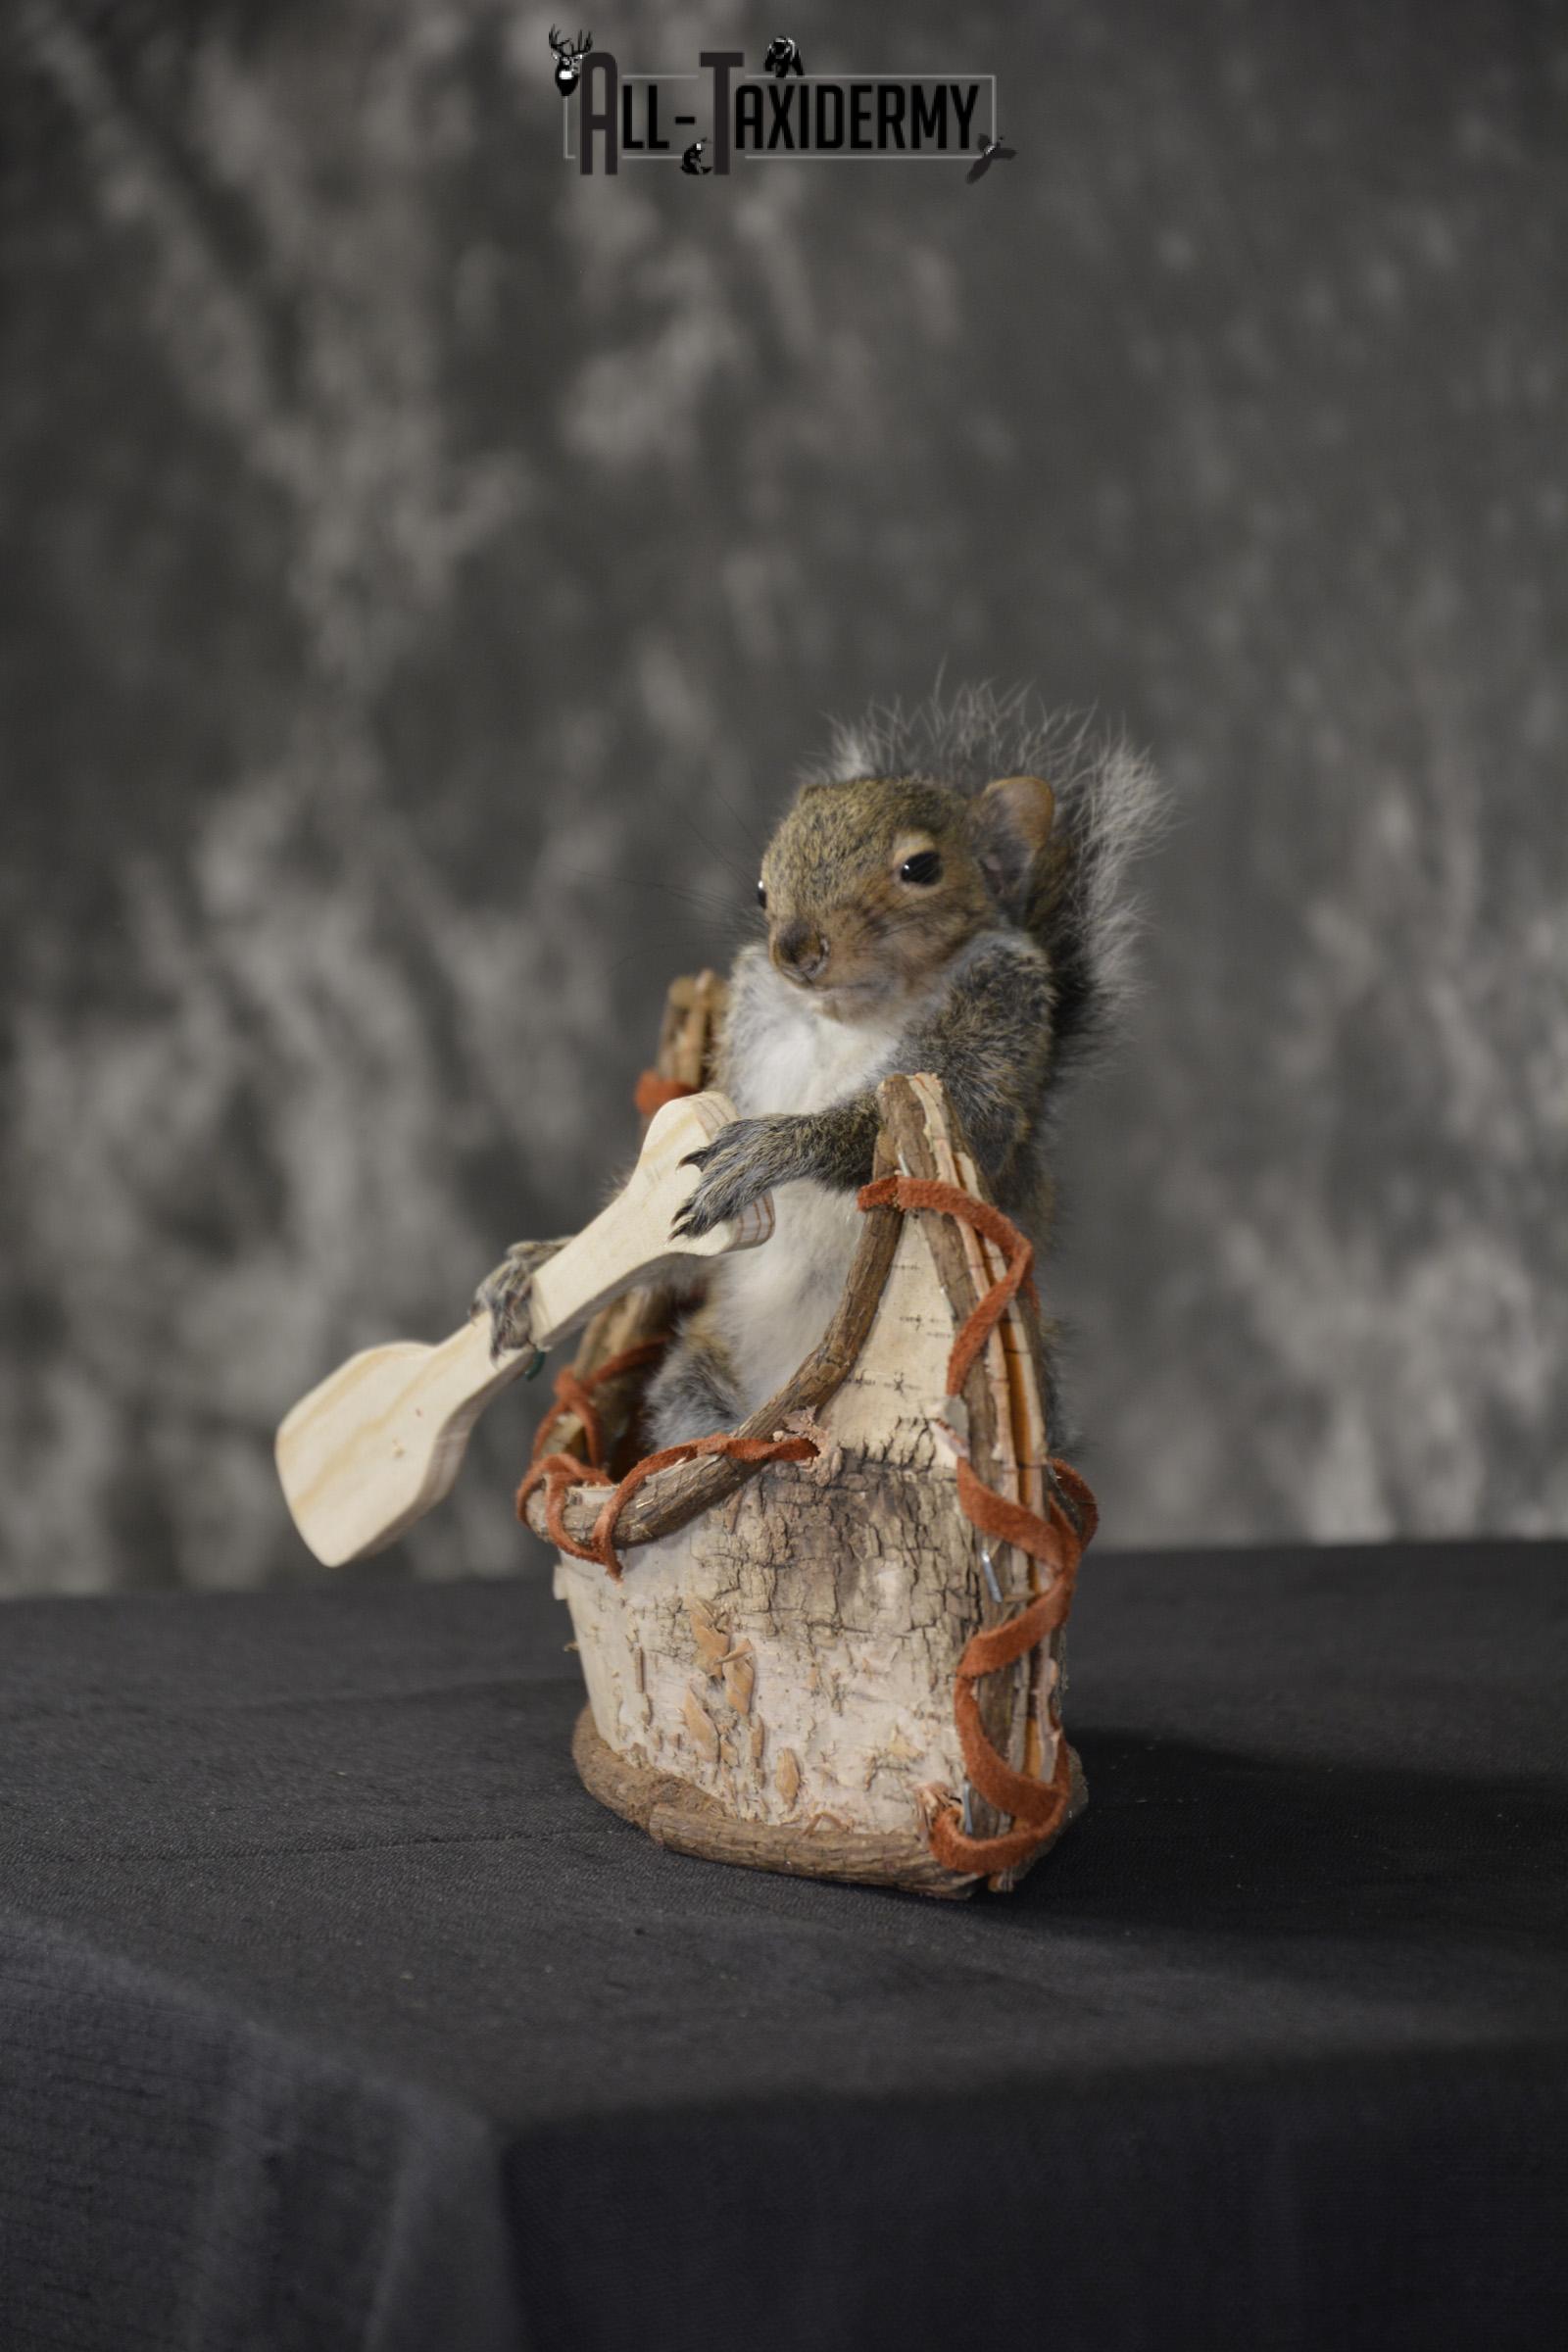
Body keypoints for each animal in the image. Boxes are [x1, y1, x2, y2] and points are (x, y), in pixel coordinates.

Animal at [475, 688, 1161, 1448]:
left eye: (922, 868)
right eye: (760, 887)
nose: (794, 947)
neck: (850, 1017)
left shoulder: (999, 1017)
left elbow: (957, 1115)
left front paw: (775, 1148)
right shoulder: (747, 1036)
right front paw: (545, 1260)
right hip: (698, 1380)